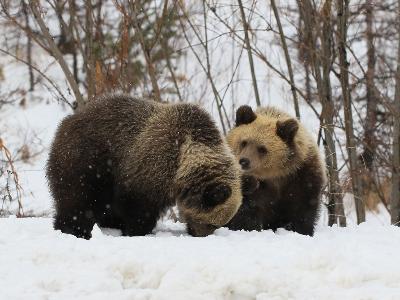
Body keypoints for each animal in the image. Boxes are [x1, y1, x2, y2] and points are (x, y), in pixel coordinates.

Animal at [225, 106, 324, 237]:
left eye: (262, 148)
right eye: (244, 142)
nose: (244, 161)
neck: (275, 176)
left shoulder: (302, 177)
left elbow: (303, 209)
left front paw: (302, 231)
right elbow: (247, 210)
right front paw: (249, 228)